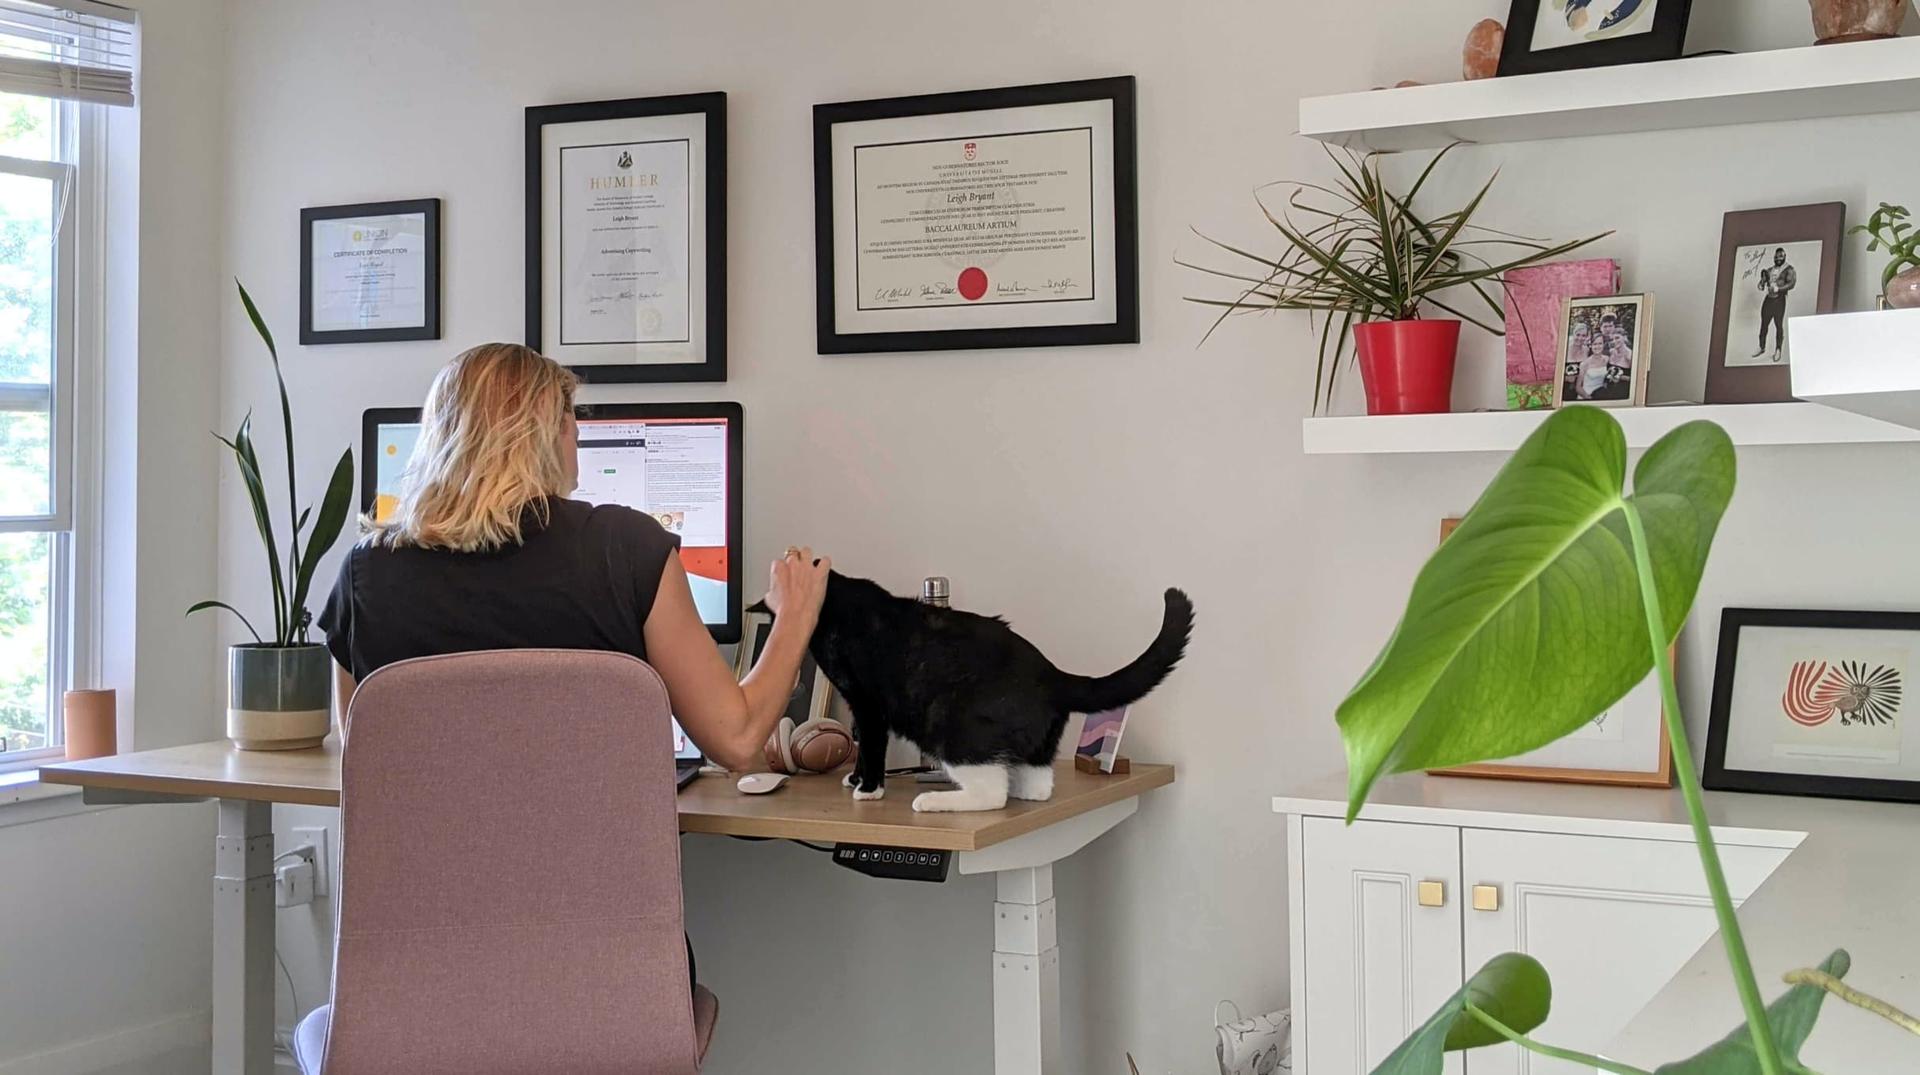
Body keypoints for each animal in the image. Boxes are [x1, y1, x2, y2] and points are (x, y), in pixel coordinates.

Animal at [802, 575, 1190, 810]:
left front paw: (868, 789)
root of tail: (1052, 674)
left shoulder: (867, 702)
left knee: (992, 795)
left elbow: (870, 745)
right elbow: (864, 744)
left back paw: (933, 800)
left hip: (950, 725)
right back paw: (1021, 788)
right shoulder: (858, 705)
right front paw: (855, 779)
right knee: (1037, 786)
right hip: (1034, 745)